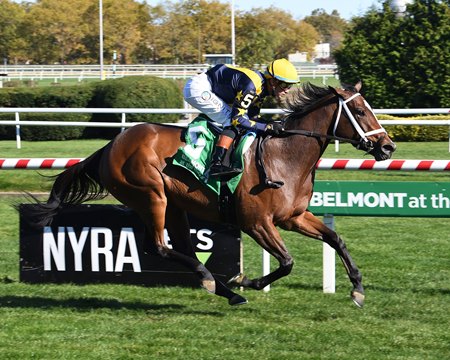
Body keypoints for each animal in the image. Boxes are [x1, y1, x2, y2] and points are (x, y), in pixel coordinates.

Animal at [23, 81, 398, 306]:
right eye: (360, 111)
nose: (388, 147)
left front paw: (357, 289)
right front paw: (250, 281)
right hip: (152, 196)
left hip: (174, 206)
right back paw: (214, 282)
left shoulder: (293, 217)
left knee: (180, 247)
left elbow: (336, 240)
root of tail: (110, 145)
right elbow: (287, 261)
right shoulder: (257, 223)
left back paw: (224, 290)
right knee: (158, 246)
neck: (285, 156)